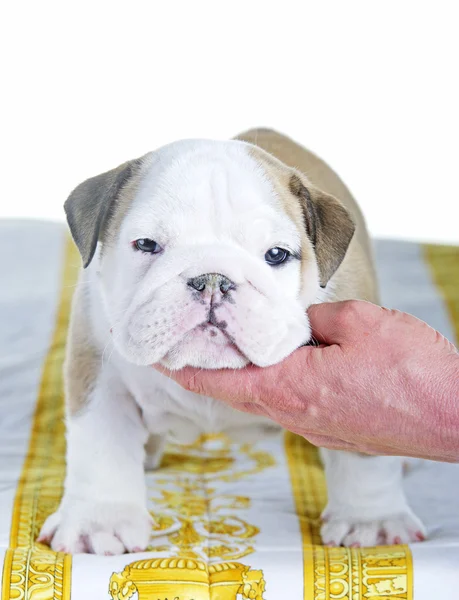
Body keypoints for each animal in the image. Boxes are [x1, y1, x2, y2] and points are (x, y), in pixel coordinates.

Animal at [37, 130, 426, 552]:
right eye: (147, 245)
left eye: (277, 254)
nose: (212, 280)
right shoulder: (98, 367)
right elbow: (101, 443)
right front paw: (98, 522)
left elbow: (363, 453)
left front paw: (370, 520)